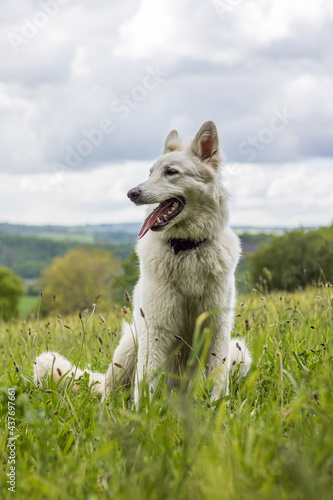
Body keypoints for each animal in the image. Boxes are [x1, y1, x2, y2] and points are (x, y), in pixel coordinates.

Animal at [35, 121, 250, 402]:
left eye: (171, 172)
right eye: (150, 173)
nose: (131, 193)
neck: (186, 248)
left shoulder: (218, 328)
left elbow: (218, 377)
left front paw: (216, 407)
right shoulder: (155, 328)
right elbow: (146, 380)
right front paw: (144, 412)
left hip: (239, 351)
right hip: (131, 342)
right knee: (110, 395)